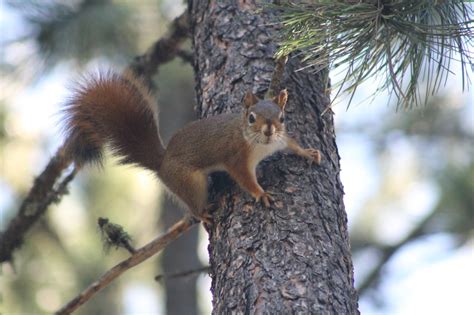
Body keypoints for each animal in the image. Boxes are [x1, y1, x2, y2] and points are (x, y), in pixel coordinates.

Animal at [62, 71, 322, 225]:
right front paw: (261, 193)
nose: (269, 130)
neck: (261, 146)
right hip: (190, 182)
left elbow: (292, 144)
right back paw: (203, 213)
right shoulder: (236, 157)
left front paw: (308, 152)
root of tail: (162, 163)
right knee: (193, 205)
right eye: (251, 118)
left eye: (282, 118)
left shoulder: (280, 140)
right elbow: (245, 179)